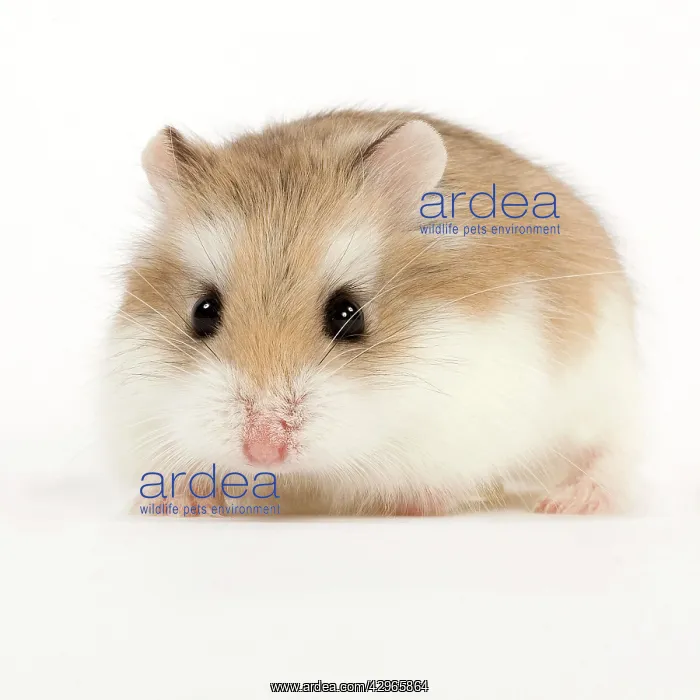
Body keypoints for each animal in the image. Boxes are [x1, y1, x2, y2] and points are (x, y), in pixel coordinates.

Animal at [102, 109, 641, 517]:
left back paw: (571, 502)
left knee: (612, 454)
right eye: (203, 312)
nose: (264, 452)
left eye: (348, 315)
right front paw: (179, 500)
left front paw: (410, 503)